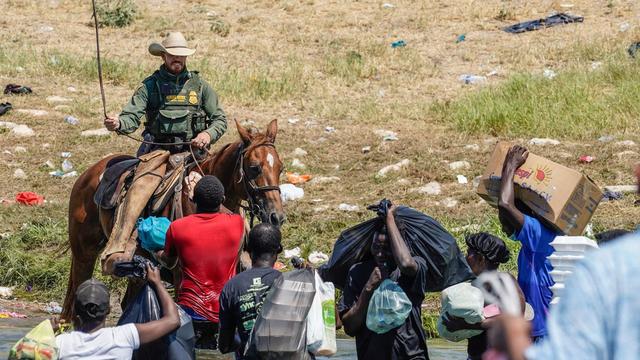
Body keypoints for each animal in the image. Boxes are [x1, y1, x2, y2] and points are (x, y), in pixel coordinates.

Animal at [60, 119, 284, 320]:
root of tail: (89, 173)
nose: (276, 216)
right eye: (254, 167)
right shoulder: (180, 275)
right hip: (84, 254)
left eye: (280, 168)